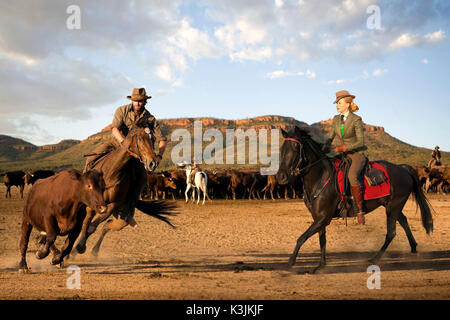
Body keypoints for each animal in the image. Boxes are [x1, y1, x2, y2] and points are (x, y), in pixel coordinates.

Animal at [73, 125, 176, 258]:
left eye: (153, 139)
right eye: (140, 139)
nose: (153, 163)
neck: (111, 173)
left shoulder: (112, 205)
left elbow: (92, 227)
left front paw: (80, 247)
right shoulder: (92, 205)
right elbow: (86, 224)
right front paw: (77, 247)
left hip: (122, 219)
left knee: (106, 226)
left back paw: (94, 251)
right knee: (93, 224)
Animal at [276, 126, 434, 274]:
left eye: (295, 147)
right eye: (282, 148)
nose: (281, 177)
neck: (321, 177)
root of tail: (404, 169)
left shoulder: (323, 218)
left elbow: (302, 238)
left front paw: (291, 261)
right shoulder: (318, 217)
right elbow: (322, 239)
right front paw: (320, 266)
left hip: (393, 208)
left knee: (391, 232)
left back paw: (374, 259)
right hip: (392, 206)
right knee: (404, 221)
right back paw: (413, 247)